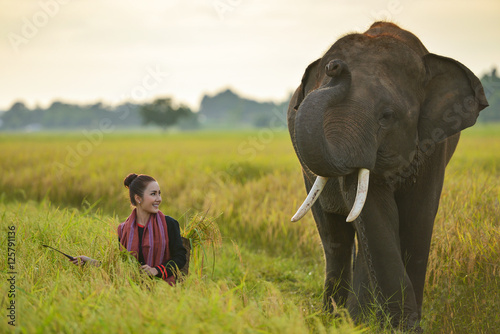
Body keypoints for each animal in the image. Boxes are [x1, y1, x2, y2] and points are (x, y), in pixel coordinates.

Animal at [288, 21, 486, 332]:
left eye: (387, 116)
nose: (335, 67)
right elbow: (376, 215)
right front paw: (389, 325)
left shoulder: (433, 143)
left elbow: (418, 216)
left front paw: (402, 326)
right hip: (310, 179)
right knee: (335, 237)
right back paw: (335, 318)